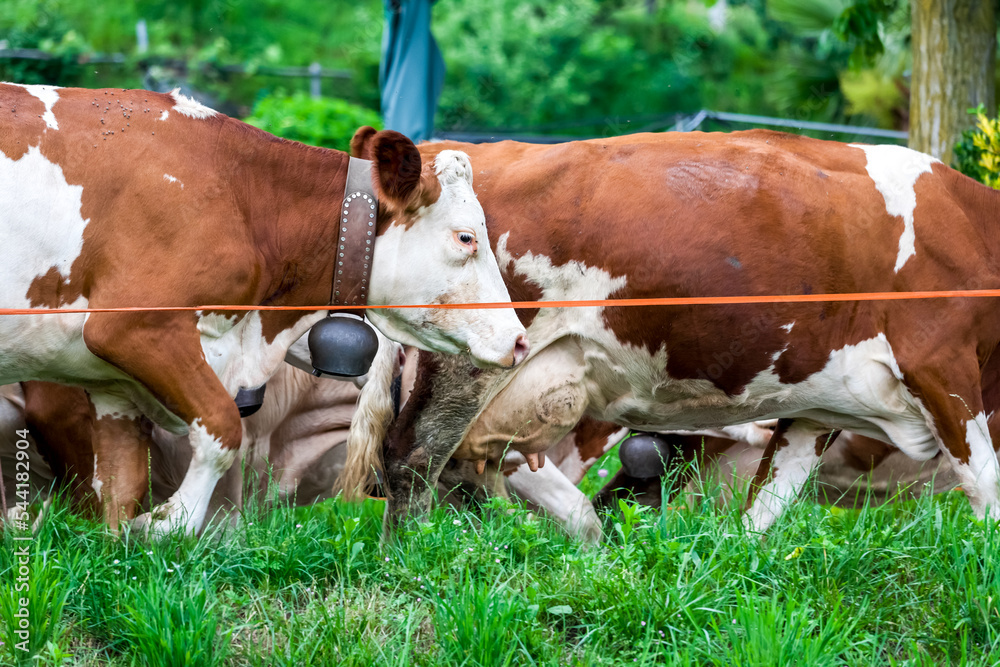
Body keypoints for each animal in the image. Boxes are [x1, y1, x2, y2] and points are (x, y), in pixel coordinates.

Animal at [0, 83, 528, 536]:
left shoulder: (113, 390)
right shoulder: (131, 327)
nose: (520, 339)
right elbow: (221, 428)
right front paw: (166, 524)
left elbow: (118, 491)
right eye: (466, 236)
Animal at [352, 130, 1000, 536]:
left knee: (476, 467)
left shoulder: (816, 413)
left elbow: (763, 510)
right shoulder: (940, 365)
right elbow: (988, 488)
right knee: (415, 454)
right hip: (472, 359)